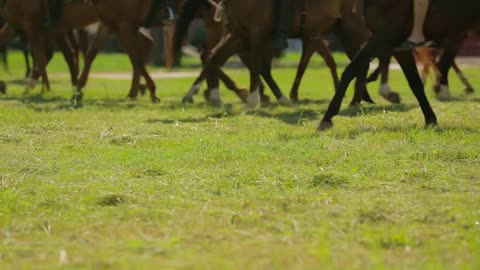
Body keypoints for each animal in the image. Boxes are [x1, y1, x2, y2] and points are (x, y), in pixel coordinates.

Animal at [318, 0, 480, 131]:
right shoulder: (397, 45)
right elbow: (414, 83)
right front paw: (430, 119)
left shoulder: (384, 36)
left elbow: (351, 69)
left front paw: (327, 117)